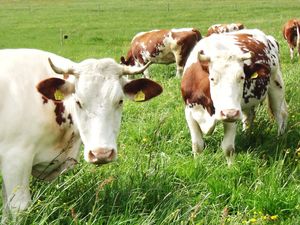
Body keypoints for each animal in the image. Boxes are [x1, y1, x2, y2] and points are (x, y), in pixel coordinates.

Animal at [0, 48, 164, 219]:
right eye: (78, 101)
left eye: (120, 101)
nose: (101, 153)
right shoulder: (15, 158)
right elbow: (18, 207)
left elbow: (5, 207)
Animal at [180, 28, 288, 165]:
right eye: (212, 78)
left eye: (242, 77)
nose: (229, 112)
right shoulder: (189, 112)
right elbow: (197, 145)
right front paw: (197, 164)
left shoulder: (232, 115)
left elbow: (228, 148)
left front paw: (231, 167)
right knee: (248, 117)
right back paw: (247, 135)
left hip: (276, 83)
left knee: (279, 113)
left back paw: (280, 137)